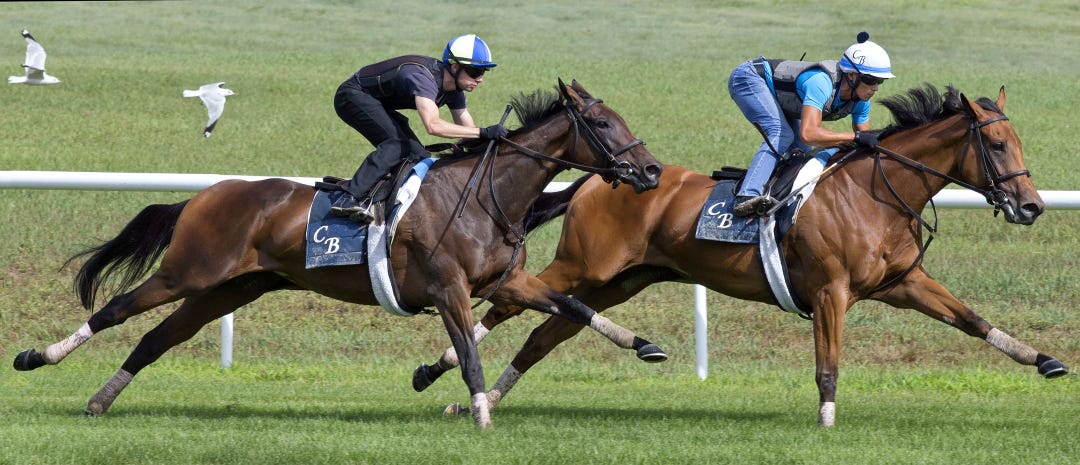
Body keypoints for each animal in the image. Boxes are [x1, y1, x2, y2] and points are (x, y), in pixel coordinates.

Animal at [12, 79, 666, 429]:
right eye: (604, 123)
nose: (652, 170)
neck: (486, 194)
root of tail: (206, 193)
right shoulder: (449, 289)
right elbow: (469, 352)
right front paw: (480, 413)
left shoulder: (501, 283)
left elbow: (570, 308)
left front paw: (644, 345)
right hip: (188, 270)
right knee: (116, 309)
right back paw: (36, 357)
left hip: (230, 287)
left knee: (155, 339)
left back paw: (100, 400)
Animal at [412, 84, 1069, 426]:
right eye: (997, 143)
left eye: (1017, 140)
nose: (1032, 205)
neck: (874, 192)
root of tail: (604, 178)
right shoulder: (830, 291)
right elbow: (828, 363)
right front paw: (827, 420)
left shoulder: (903, 282)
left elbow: (973, 320)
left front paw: (1044, 360)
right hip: (584, 266)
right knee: (506, 301)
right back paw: (440, 372)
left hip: (623, 280)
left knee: (544, 333)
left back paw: (480, 395)